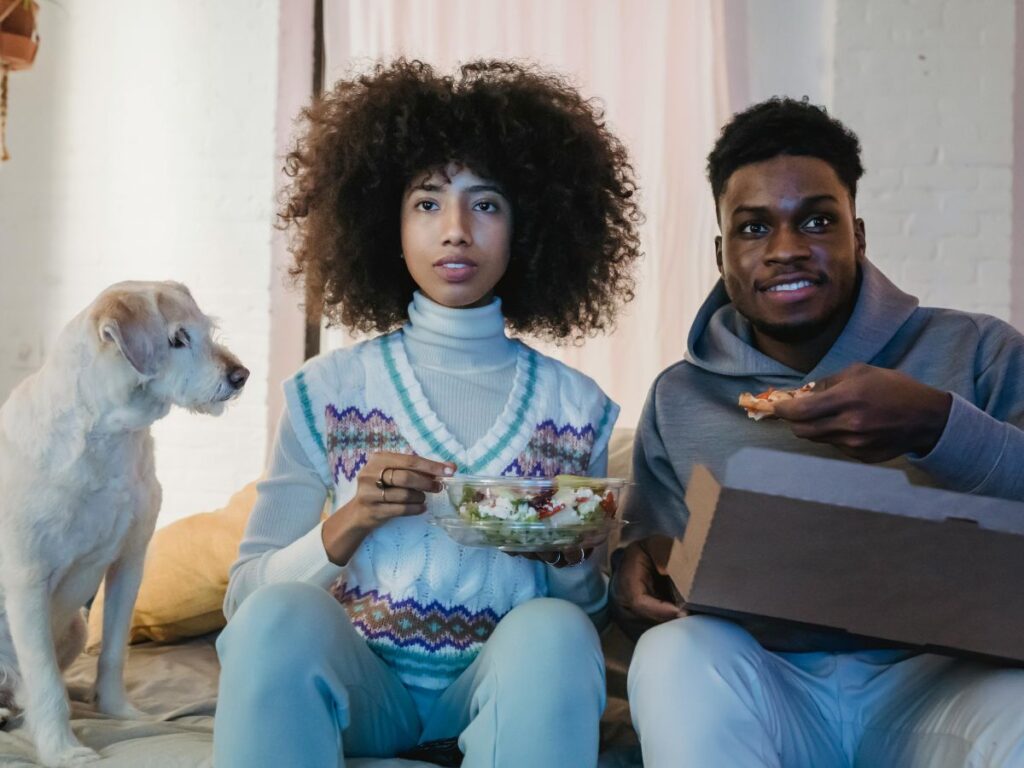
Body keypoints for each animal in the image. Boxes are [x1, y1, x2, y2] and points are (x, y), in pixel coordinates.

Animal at [0, 280, 245, 765]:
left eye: (206, 329)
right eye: (177, 338)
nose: (240, 375)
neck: (106, 437)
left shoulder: (129, 562)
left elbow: (114, 651)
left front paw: (119, 712)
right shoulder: (26, 581)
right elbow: (45, 678)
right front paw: (63, 750)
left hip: (76, 626)